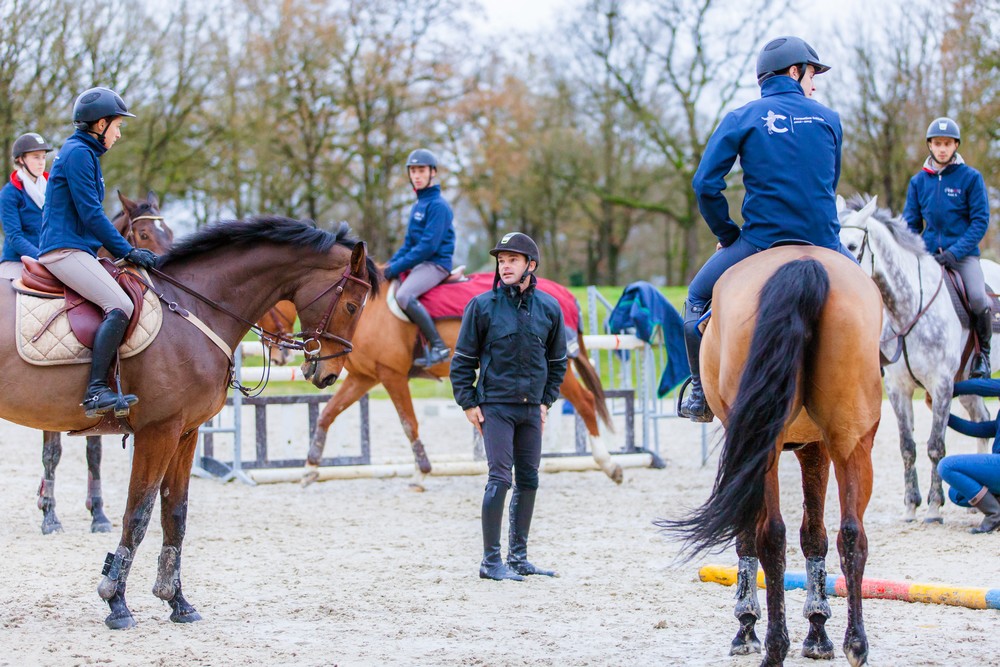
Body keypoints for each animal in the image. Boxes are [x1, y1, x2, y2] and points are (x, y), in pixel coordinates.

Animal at [38, 191, 175, 534]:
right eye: (143, 235)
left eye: (169, 231)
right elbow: (52, 453)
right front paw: (49, 515)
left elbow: (94, 452)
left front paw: (97, 513)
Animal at [268, 277, 623, 489]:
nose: (279, 357)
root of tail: (563, 294)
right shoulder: (363, 377)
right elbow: (328, 414)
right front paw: (309, 468)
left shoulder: (391, 375)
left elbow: (408, 422)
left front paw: (420, 472)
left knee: (585, 402)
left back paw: (609, 464)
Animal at [660, 247, 883, 667]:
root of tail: (804, 263)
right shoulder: (817, 447)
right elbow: (815, 536)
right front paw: (818, 633)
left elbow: (747, 536)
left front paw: (746, 628)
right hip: (851, 438)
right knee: (851, 533)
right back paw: (855, 644)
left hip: (766, 447)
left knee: (770, 535)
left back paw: (774, 647)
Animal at [838, 194, 998, 523]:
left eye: (852, 245)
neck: (909, 310)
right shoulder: (898, 389)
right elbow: (907, 447)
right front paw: (911, 505)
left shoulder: (942, 385)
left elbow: (936, 446)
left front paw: (935, 506)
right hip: (968, 389)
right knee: (982, 418)